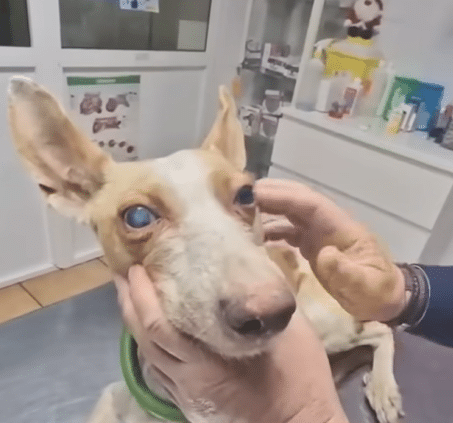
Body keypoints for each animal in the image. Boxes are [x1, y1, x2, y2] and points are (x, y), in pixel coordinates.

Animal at [7, 77, 403, 423]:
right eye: (137, 216)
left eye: (247, 194)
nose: (269, 312)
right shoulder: (114, 397)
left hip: (325, 321)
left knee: (380, 328)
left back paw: (383, 387)